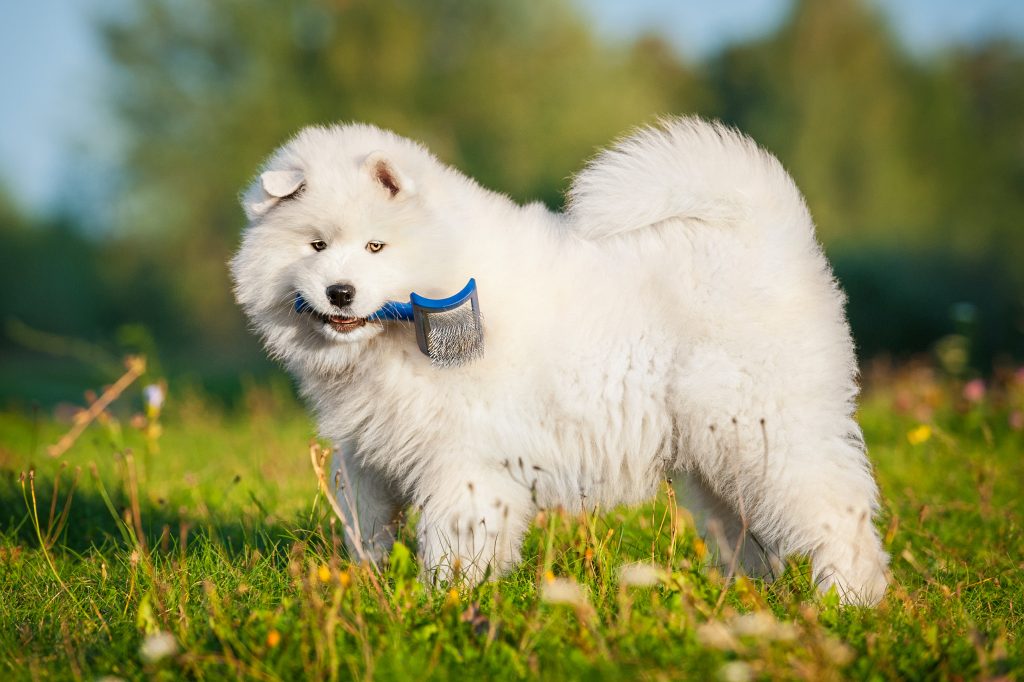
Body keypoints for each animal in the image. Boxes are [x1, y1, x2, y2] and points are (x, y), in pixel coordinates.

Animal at [230, 116, 888, 606]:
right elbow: (365, 521)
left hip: (766, 430)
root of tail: (770, 237)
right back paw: (747, 599)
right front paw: (367, 584)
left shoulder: (466, 458)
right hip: (716, 454)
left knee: (838, 511)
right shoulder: (370, 451)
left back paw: (848, 600)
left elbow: (453, 537)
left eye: (375, 246)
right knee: (747, 528)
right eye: (315, 244)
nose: (339, 292)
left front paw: (445, 601)